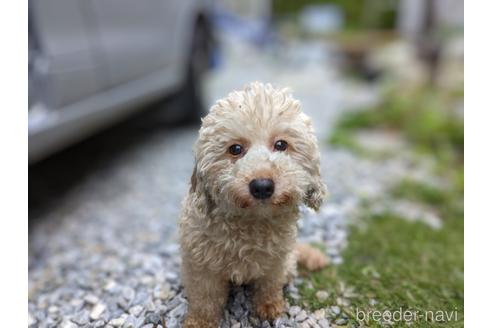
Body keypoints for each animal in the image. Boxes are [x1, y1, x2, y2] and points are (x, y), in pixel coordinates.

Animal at [180, 82, 326, 328]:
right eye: (235, 149)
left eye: (281, 144)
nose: (262, 186)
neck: (250, 226)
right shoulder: (201, 267)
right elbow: (205, 299)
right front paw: (199, 322)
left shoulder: (275, 264)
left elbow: (269, 286)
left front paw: (269, 308)